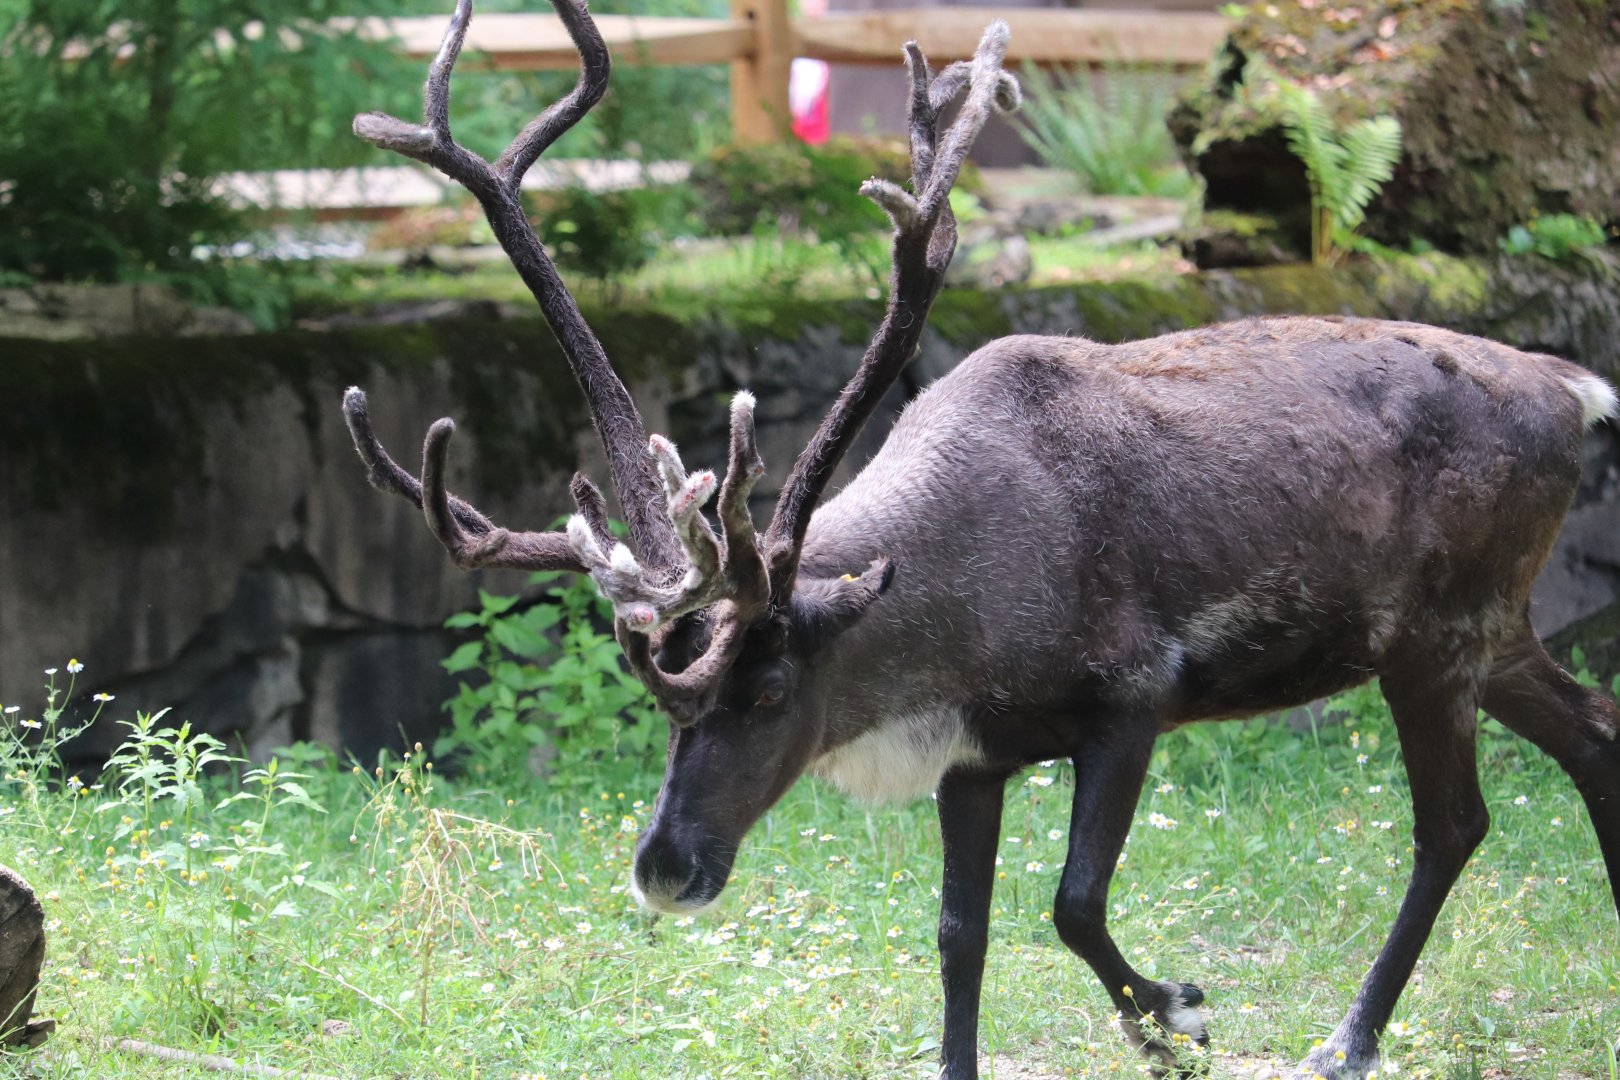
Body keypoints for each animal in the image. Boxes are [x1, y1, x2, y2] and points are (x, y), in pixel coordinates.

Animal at [338, 2, 1620, 1077]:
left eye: (769, 692)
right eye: (662, 704)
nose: (664, 870)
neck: (942, 609)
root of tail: (1573, 389)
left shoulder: (1133, 697)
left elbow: (1072, 903)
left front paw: (1177, 1017)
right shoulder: (976, 754)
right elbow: (961, 933)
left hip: (1434, 640)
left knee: (1455, 823)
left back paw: (1347, 1042)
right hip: (1493, 630)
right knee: (1594, 733)